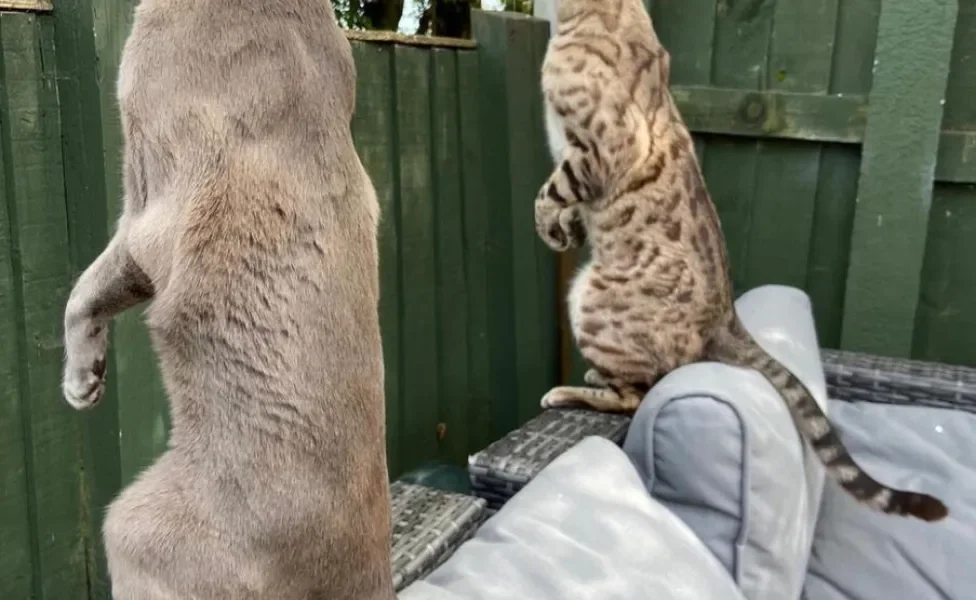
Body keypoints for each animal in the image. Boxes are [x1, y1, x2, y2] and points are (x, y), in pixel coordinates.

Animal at [61, 2, 398, 596]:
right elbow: (91, 291)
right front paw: (87, 379)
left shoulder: (146, 209)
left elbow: (88, 284)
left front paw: (81, 382)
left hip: (130, 526)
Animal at [528, 0, 948, 520]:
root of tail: (727, 317)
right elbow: (564, 202)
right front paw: (565, 229)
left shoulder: (604, 147)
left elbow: (550, 192)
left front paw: (548, 224)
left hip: (592, 295)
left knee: (638, 394)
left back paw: (569, 391)